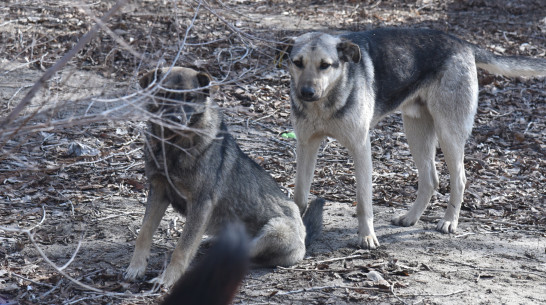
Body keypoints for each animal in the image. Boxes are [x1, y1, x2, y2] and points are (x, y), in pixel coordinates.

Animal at [123, 65, 324, 286]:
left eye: (190, 98)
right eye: (163, 95)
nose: (174, 120)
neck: (172, 147)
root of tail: (303, 236)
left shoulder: (200, 204)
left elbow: (182, 248)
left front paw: (168, 279)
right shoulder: (158, 191)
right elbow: (144, 232)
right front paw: (136, 267)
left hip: (273, 230)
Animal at [278, 27, 540, 248]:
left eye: (325, 65)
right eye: (298, 63)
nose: (306, 93)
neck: (324, 103)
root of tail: (461, 43)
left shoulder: (360, 148)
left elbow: (363, 202)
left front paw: (367, 237)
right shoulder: (306, 146)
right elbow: (300, 196)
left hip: (448, 133)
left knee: (459, 179)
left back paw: (449, 221)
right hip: (415, 132)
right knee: (431, 179)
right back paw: (410, 217)